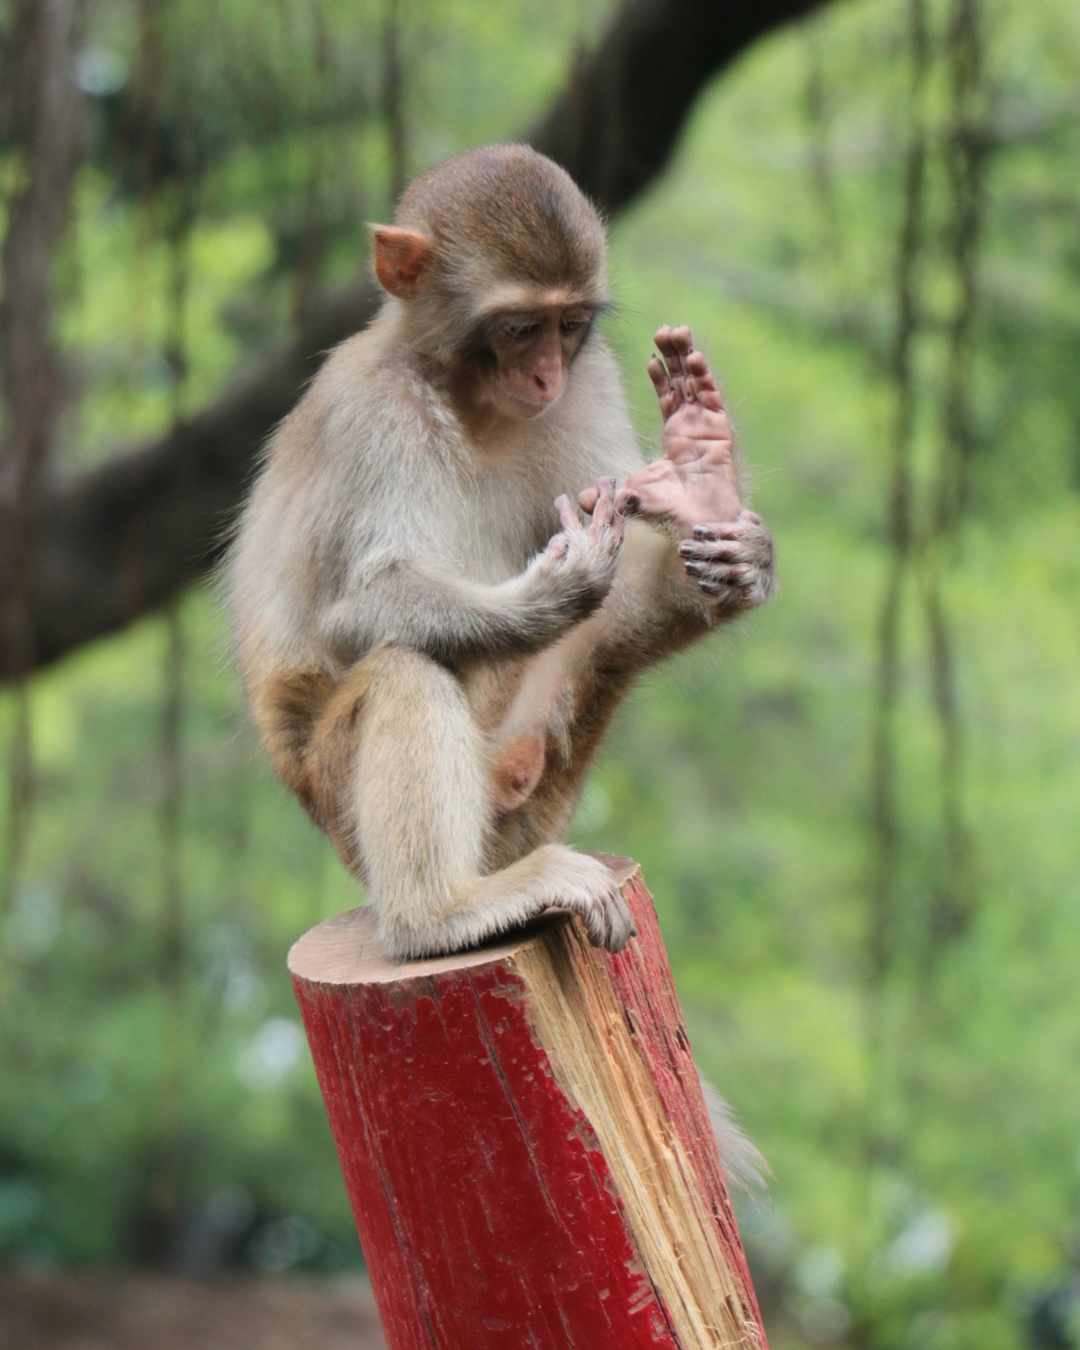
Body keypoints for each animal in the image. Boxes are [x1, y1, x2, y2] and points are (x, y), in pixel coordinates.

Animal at [228, 143, 775, 967]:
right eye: (519, 327)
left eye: (569, 324)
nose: (546, 373)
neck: (469, 398)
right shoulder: (370, 411)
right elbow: (355, 610)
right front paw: (549, 596)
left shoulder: (589, 381)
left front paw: (702, 479)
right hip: (339, 797)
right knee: (405, 669)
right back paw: (439, 913)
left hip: (536, 771)